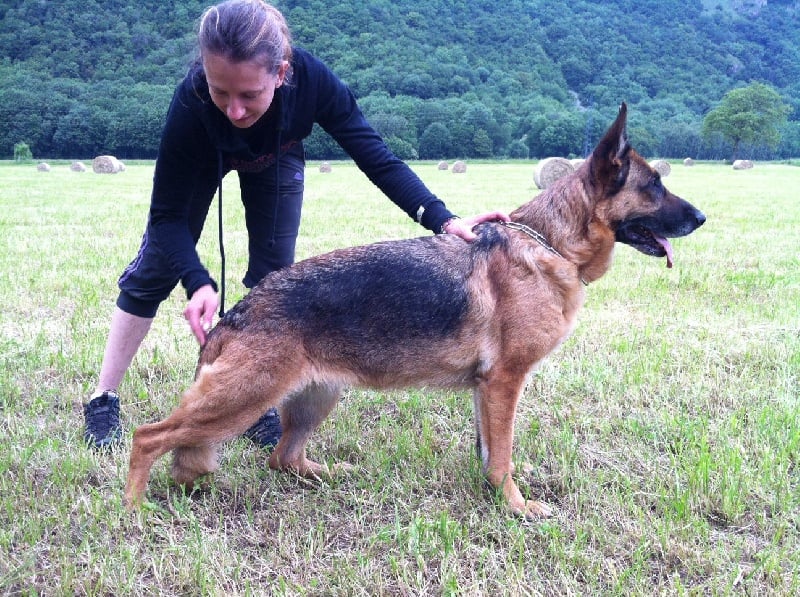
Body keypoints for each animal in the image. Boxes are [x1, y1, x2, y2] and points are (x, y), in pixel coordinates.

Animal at [125, 102, 708, 516]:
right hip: (243, 397)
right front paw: (516, 507)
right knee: (149, 436)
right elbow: (503, 455)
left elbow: (489, 453)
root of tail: (237, 311)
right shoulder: (505, 382)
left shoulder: (487, 390)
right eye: (655, 185)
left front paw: (493, 497)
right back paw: (133, 508)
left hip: (314, 397)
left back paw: (331, 476)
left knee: (281, 459)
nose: (703, 218)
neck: (548, 243)